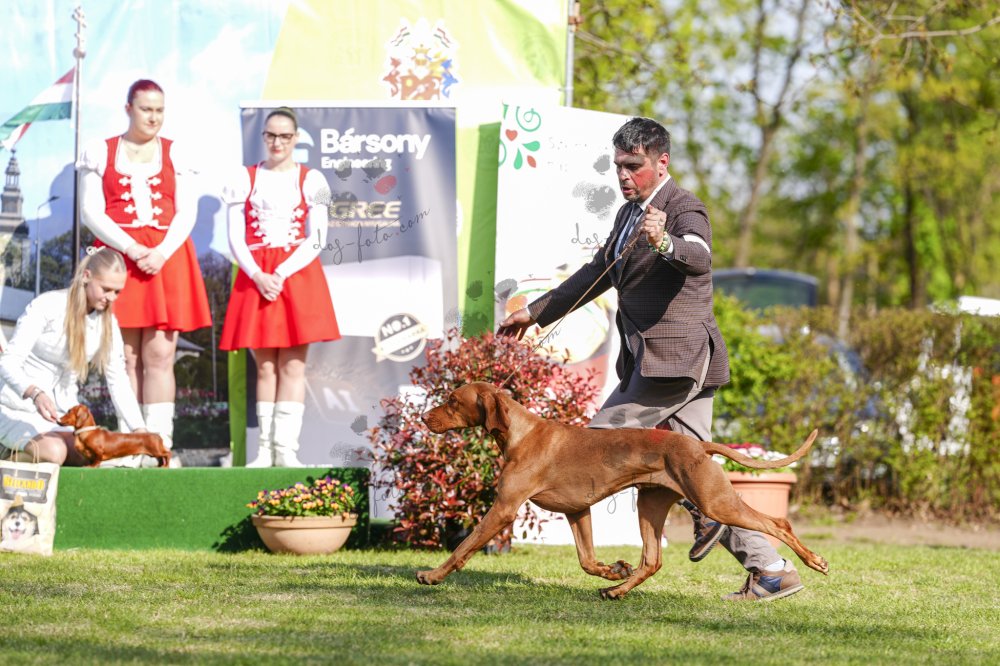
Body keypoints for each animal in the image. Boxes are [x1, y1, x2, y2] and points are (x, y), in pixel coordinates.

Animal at [417, 382, 829, 599]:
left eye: (452, 401)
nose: (423, 417)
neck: (521, 434)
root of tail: (699, 445)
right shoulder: (577, 510)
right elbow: (586, 560)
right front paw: (613, 571)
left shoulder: (504, 508)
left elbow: (464, 547)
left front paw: (433, 576)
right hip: (651, 505)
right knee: (653, 560)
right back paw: (617, 591)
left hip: (715, 501)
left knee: (778, 523)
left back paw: (814, 561)